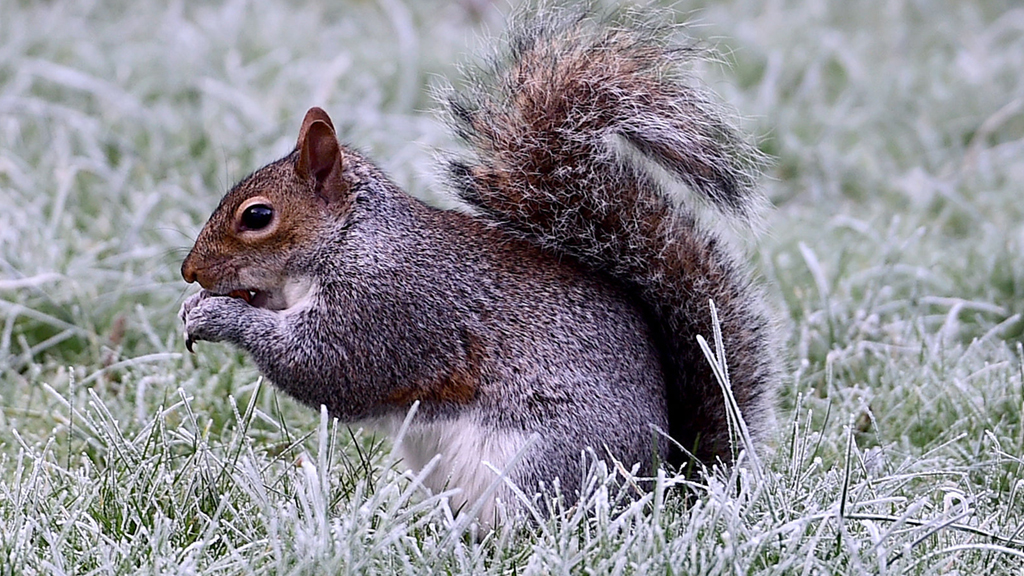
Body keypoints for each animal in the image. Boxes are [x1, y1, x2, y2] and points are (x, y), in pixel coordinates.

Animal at [179, 6, 779, 526]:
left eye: (257, 216)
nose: (190, 272)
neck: (351, 239)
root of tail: (663, 486)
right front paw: (197, 305)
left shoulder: (387, 308)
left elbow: (323, 368)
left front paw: (219, 317)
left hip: (540, 464)